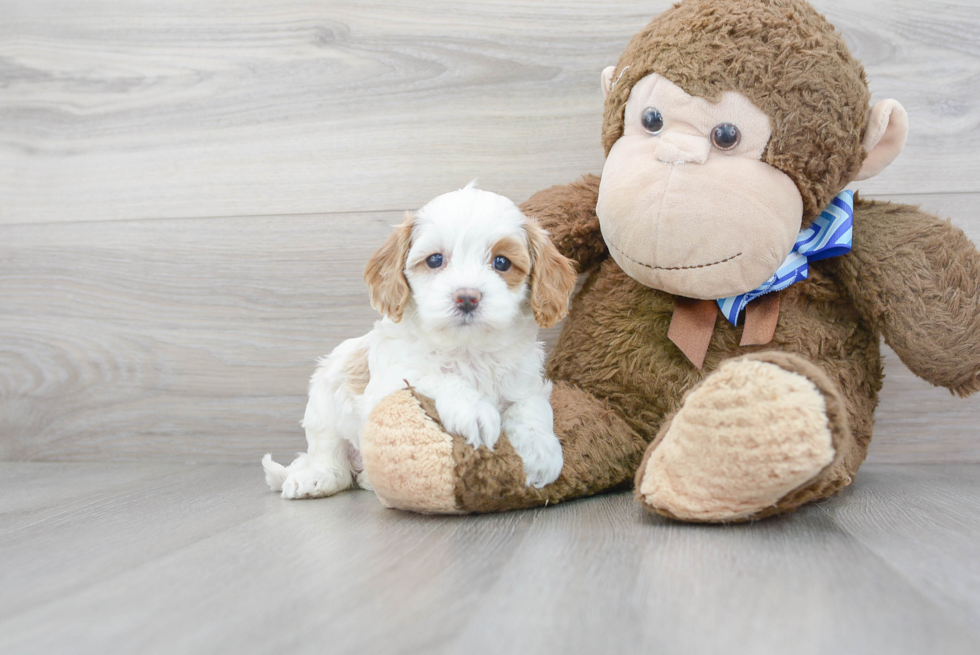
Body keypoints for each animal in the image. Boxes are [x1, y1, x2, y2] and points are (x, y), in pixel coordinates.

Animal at [264, 182, 580, 500]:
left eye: (502, 262)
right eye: (435, 260)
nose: (467, 297)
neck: (468, 349)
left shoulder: (526, 383)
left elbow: (532, 406)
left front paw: (541, 450)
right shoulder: (389, 383)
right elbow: (436, 377)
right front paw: (473, 409)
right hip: (325, 398)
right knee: (331, 457)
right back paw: (316, 478)